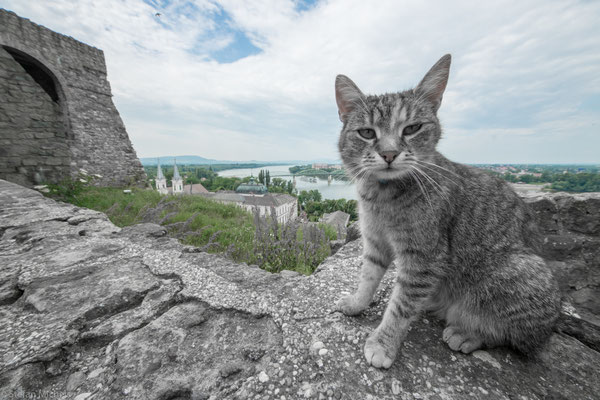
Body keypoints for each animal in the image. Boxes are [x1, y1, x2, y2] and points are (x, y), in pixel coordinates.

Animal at [336, 54, 560, 368]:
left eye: (412, 128)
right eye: (367, 133)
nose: (389, 154)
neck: (382, 195)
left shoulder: (425, 258)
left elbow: (400, 307)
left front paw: (383, 342)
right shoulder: (375, 241)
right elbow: (367, 278)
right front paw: (357, 303)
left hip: (522, 275)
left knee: (517, 337)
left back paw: (469, 333)